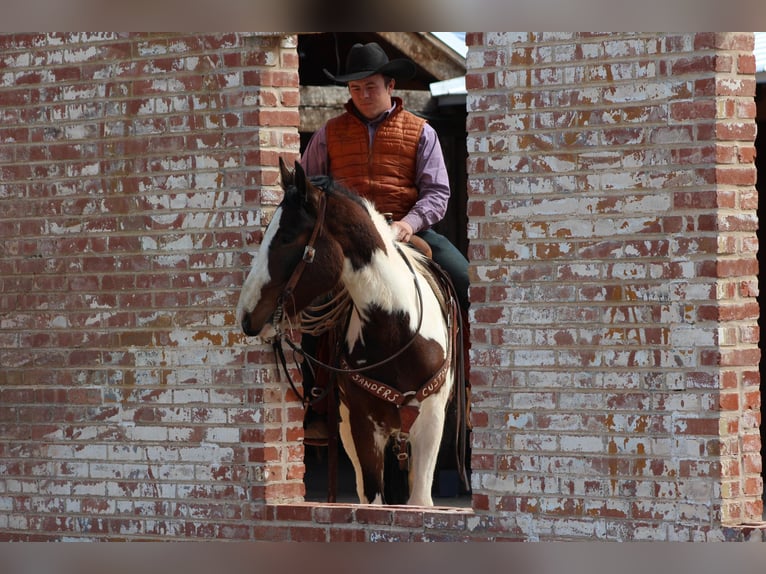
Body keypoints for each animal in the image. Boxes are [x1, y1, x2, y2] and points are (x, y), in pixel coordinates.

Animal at [237, 160, 464, 506]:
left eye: (287, 236)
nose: (247, 316)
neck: (397, 332)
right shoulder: (360, 427)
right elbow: (372, 498)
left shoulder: (431, 423)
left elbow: (420, 501)